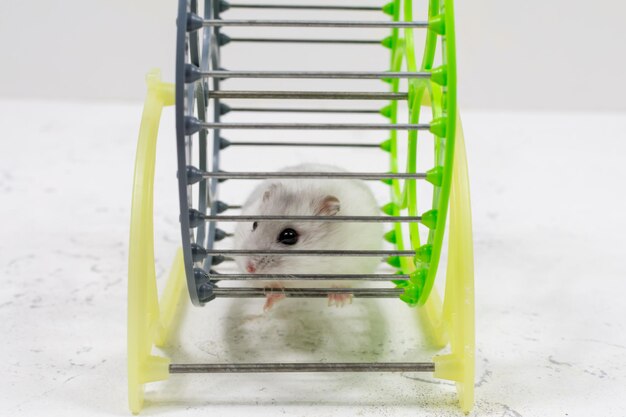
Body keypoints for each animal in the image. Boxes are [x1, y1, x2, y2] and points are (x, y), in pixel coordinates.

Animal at [233, 162, 382, 308]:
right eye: (254, 224)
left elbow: (342, 283)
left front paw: (340, 303)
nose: (249, 269)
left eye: (289, 235)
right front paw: (268, 305)